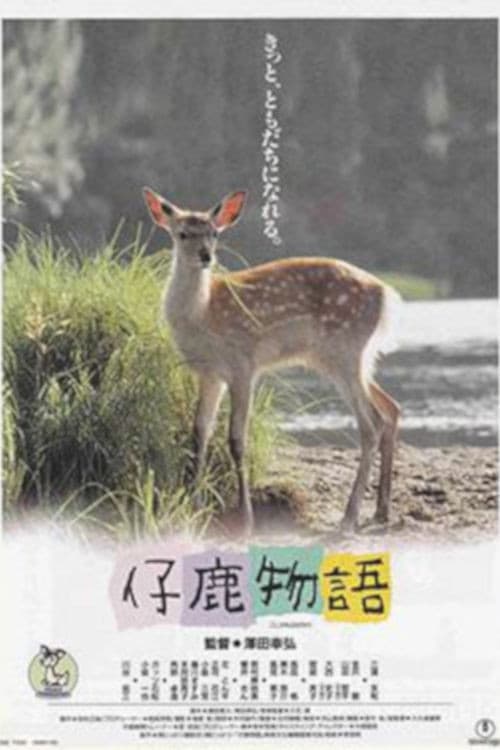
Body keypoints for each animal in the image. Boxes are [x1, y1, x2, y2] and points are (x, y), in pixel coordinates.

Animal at [143, 187, 401, 537]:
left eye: (214, 233)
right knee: (390, 408)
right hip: (351, 357)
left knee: (371, 422)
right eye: (182, 233)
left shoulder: (243, 363)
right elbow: (199, 434)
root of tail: (386, 294)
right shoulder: (209, 373)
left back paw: (349, 517)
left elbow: (236, 439)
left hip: (345, 351)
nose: (206, 256)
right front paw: (192, 508)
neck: (203, 314)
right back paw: (380, 512)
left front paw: (246, 520)